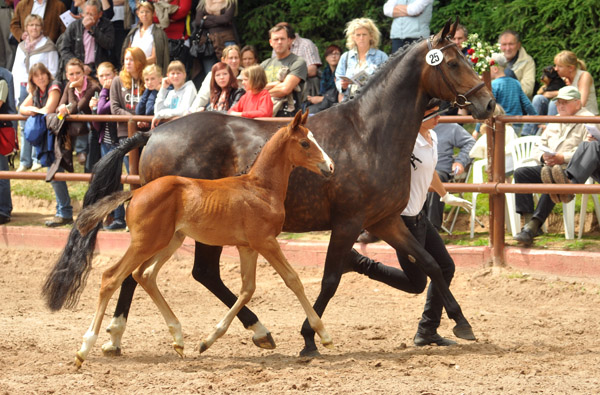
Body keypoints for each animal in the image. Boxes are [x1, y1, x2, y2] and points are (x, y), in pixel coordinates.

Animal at [72, 110, 336, 368]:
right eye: (304, 143)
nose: (330, 166)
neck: (260, 188)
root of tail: (135, 192)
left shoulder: (247, 247)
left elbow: (247, 289)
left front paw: (209, 341)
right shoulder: (266, 242)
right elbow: (293, 280)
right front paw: (324, 335)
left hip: (170, 241)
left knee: (144, 275)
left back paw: (177, 338)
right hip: (146, 243)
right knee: (111, 277)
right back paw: (84, 349)